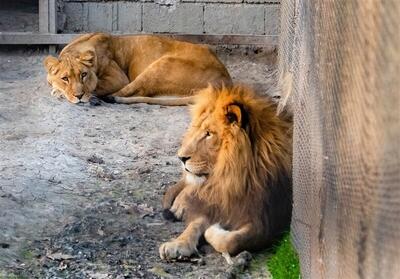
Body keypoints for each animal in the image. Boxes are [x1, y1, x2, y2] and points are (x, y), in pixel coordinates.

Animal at [43, 32, 231, 105]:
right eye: (65, 78)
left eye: (83, 75)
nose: (79, 96)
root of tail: (225, 79)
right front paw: (58, 89)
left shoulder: (118, 78)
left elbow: (96, 86)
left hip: (160, 65)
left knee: (129, 92)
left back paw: (107, 99)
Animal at [160, 85, 294, 260]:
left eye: (209, 134)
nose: (180, 157)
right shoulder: (217, 203)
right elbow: (194, 224)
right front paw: (177, 244)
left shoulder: (267, 222)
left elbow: (231, 241)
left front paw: (213, 230)